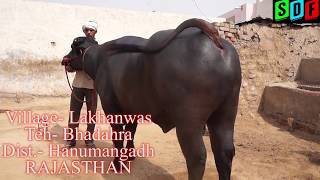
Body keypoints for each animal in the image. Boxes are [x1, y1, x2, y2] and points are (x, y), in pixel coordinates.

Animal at [62, 18, 241, 180]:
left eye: (72, 47)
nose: (64, 59)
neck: (99, 59)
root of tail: (217, 43)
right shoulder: (132, 110)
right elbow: (131, 132)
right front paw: (130, 155)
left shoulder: (112, 109)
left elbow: (118, 137)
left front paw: (117, 164)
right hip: (225, 114)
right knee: (225, 152)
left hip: (189, 122)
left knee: (197, 157)